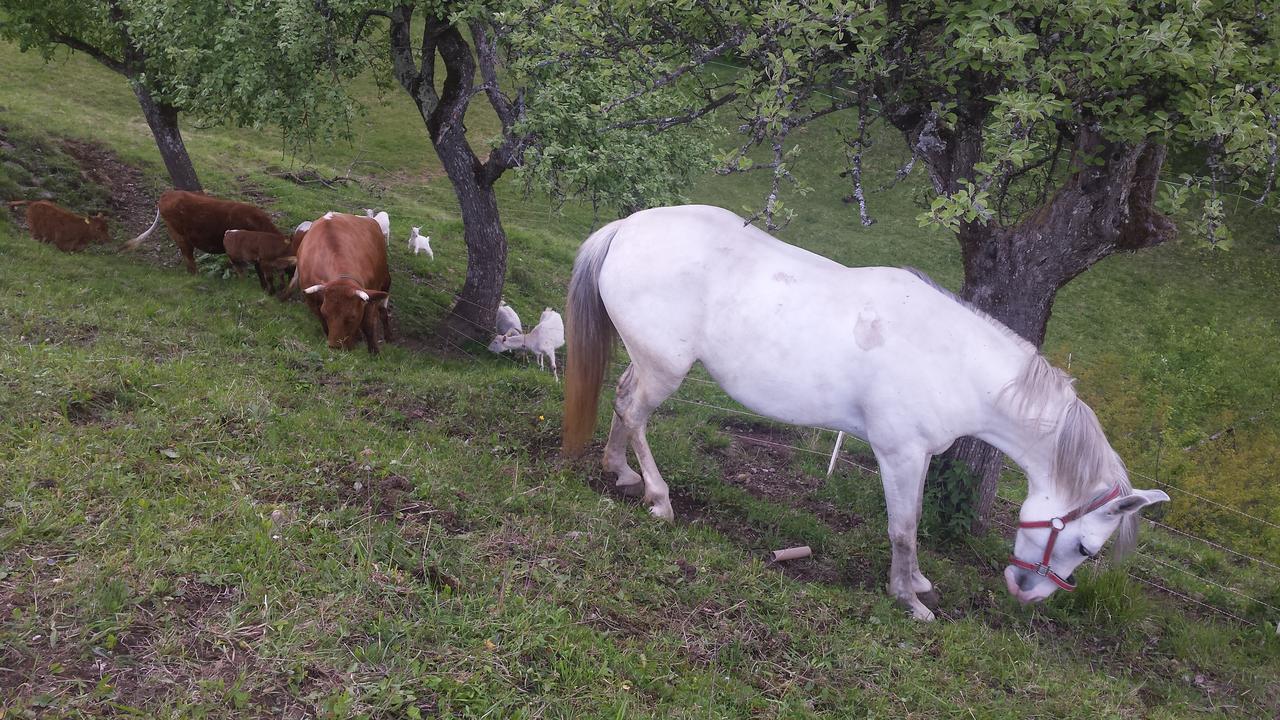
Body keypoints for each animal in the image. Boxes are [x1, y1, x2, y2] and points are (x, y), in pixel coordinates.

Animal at [293, 210, 389, 353]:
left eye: (352, 317)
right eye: (325, 313)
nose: (335, 347)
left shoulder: (371, 294)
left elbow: (368, 325)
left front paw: (374, 351)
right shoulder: (312, 302)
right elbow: (323, 323)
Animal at [563, 204, 1172, 620]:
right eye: (1087, 547)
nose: (1029, 592)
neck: (954, 358)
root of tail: (627, 227)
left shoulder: (919, 456)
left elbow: (915, 519)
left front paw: (918, 582)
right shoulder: (899, 454)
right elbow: (904, 525)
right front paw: (908, 599)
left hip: (646, 361)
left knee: (623, 403)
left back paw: (619, 471)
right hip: (665, 369)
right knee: (636, 414)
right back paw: (658, 498)